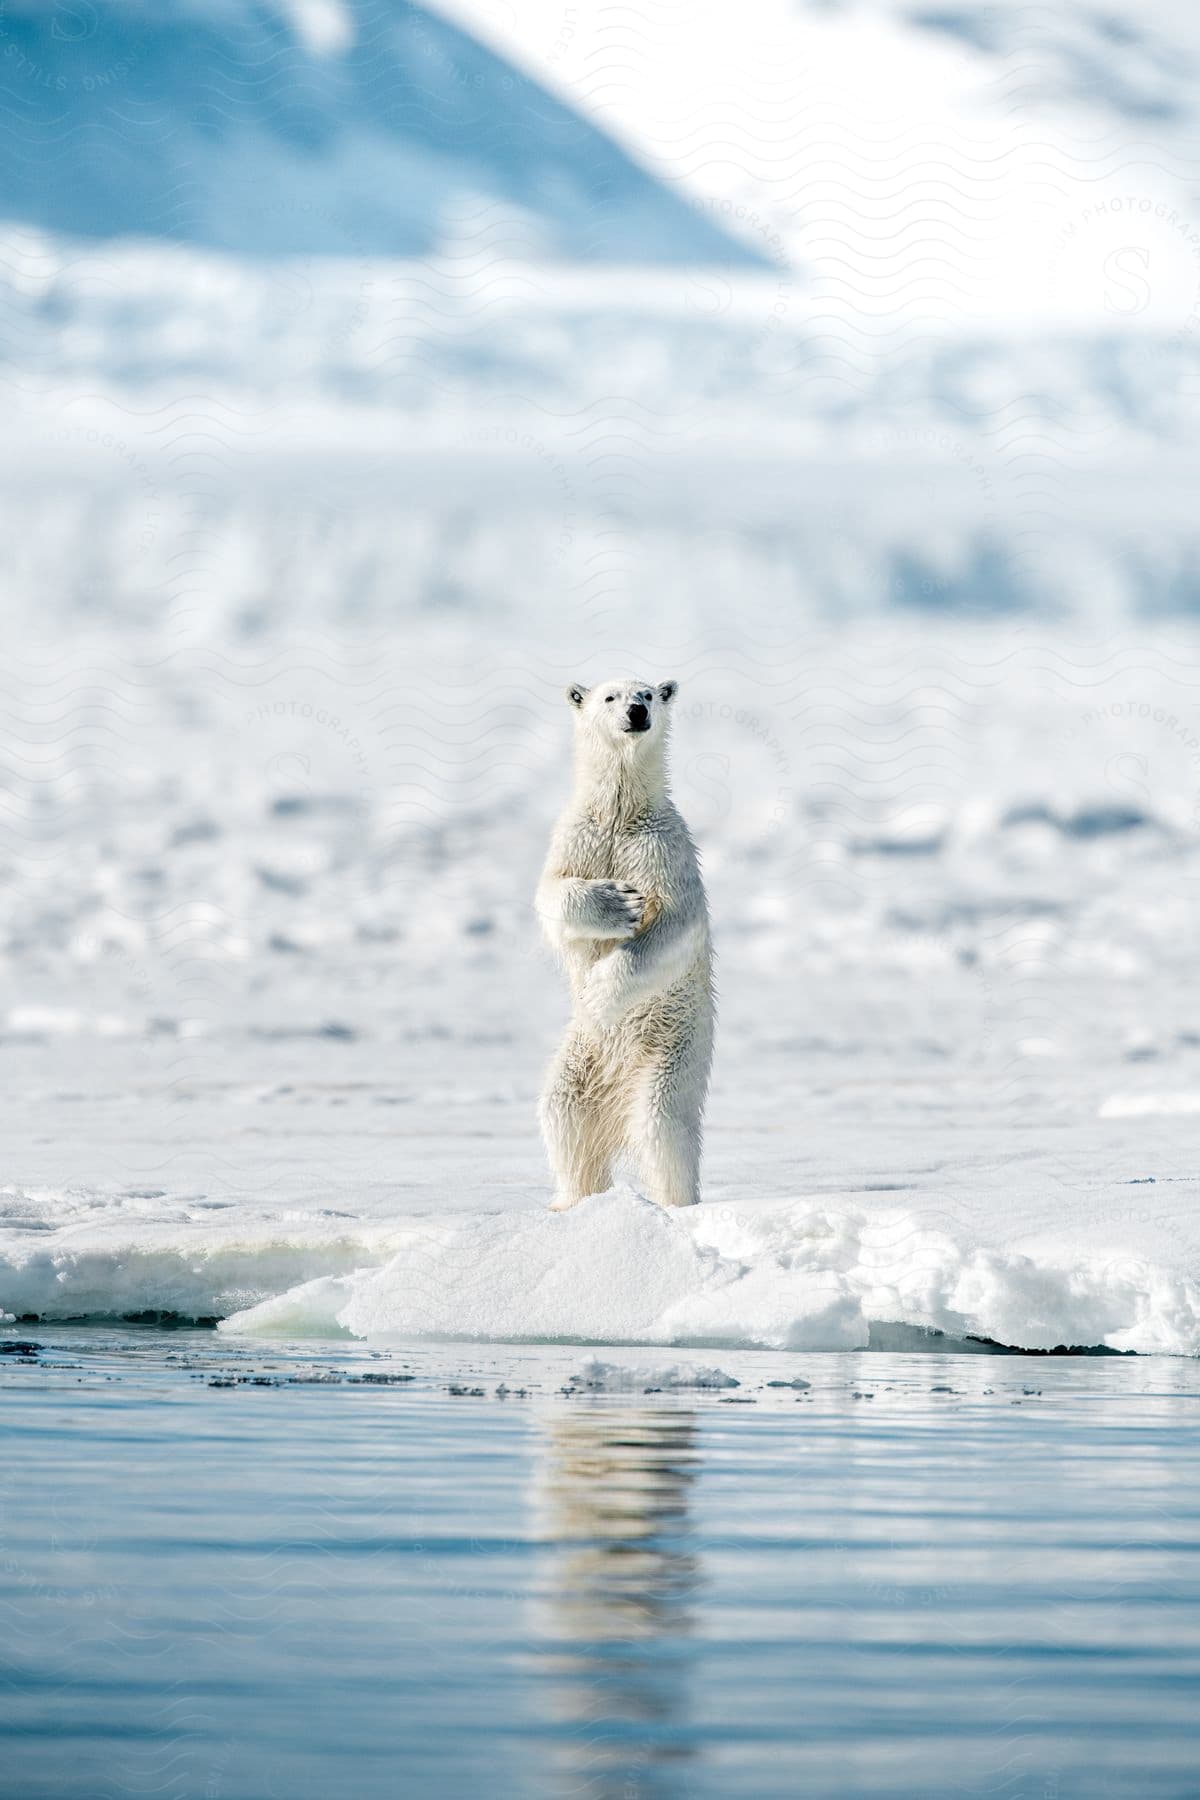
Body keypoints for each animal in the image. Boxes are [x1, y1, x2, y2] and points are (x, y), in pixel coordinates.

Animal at [536, 676, 712, 1209]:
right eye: (609, 697)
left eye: (650, 694)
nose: (636, 712)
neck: (620, 812)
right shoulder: (580, 836)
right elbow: (552, 894)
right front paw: (617, 903)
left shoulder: (662, 847)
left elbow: (676, 922)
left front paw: (598, 991)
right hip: (580, 1056)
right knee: (563, 1115)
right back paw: (570, 1201)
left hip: (673, 1050)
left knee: (662, 1126)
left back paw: (675, 1203)